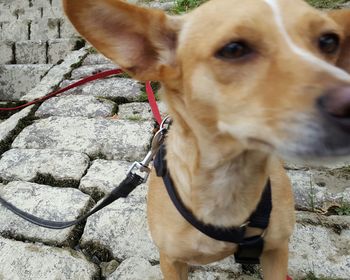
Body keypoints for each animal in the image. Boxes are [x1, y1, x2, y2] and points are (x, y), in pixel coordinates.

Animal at [63, 1, 350, 278]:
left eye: (329, 41)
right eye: (233, 49)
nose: (347, 102)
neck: (228, 181)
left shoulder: (276, 252)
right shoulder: (171, 261)